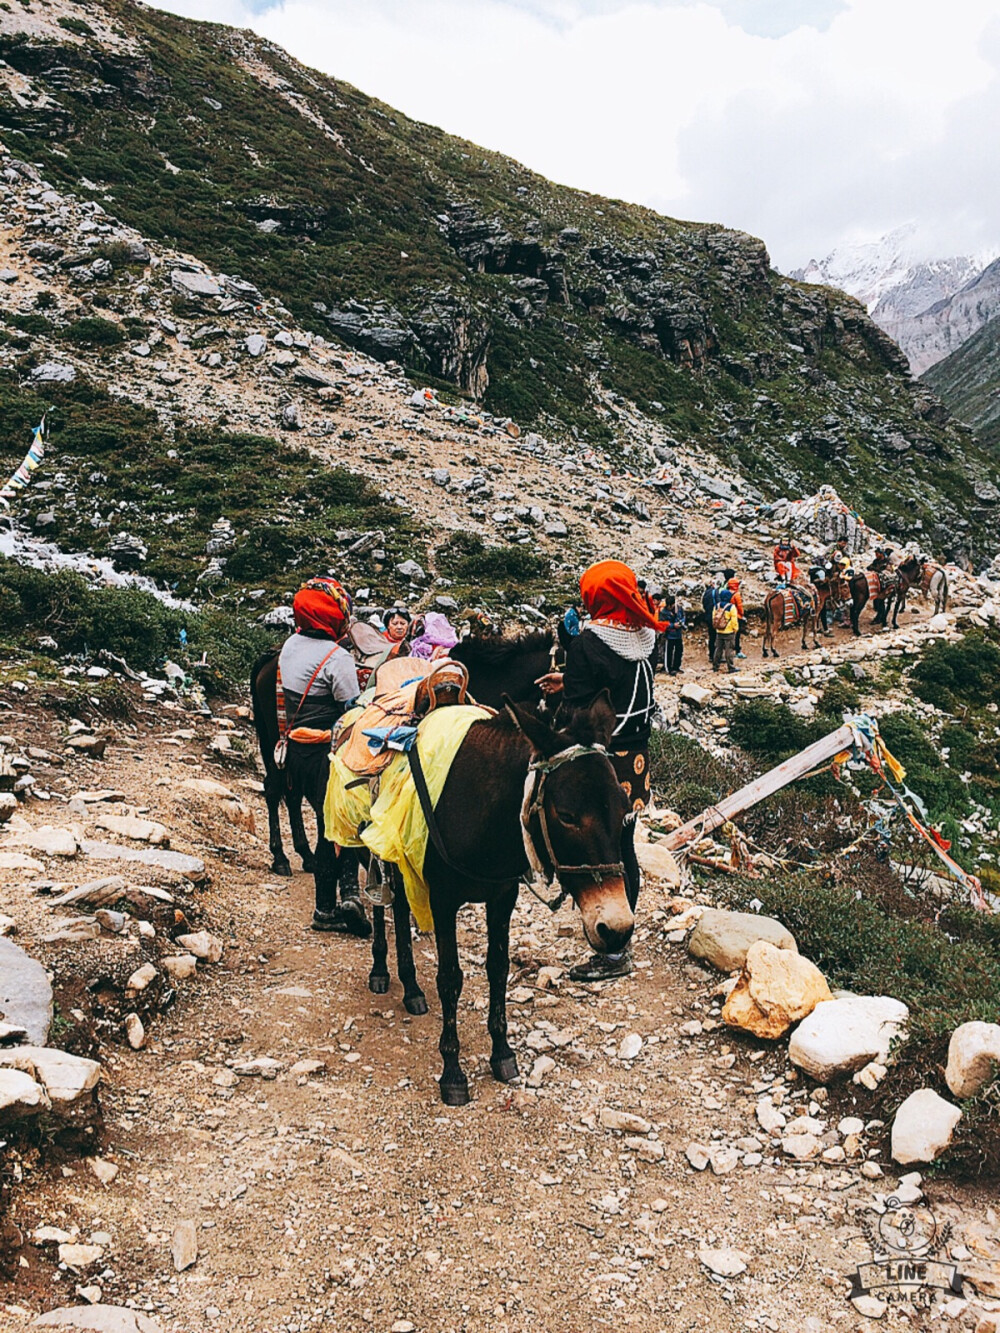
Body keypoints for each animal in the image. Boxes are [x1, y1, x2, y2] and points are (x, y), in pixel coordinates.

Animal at [250, 631, 557, 879]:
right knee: (275, 790)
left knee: (291, 794)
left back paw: (306, 855)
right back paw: (281, 858)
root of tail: (270, 656)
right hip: (274, 740)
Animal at [357, 693, 629, 1109]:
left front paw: (502, 1054)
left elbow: (498, 969)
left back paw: (413, 990)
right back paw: (380, 972)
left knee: (400, 907)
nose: (616, 928)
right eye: (566, 815)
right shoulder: (443, 900)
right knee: (378, 904)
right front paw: (453, 1073)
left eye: (625, 807)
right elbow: (450, 978)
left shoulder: (503, 897)